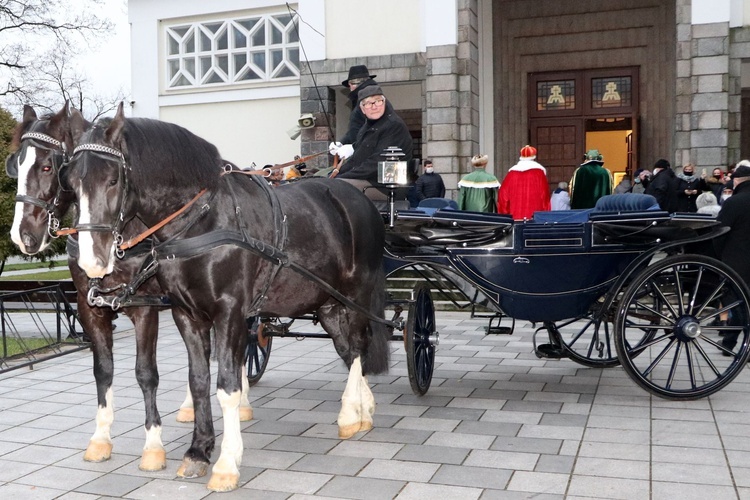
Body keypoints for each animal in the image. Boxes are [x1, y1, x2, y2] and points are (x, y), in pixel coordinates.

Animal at [4, 104, 254, 472]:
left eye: (49, 166)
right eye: (16, 165)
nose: (23, 236)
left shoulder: (145, 306)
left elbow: (146, 373)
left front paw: (153, 445)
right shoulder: (89, 308)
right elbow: (103, 371)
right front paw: (100, 438)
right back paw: (190, 406)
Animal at [64, 103, 390, 490]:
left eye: (113, 180)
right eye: (71, 183)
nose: (91, 261)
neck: (201, 220)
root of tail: (355, 196)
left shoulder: (230, 313)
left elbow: (228, 386)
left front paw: (226, 463)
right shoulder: (186, 315)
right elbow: (199, 381)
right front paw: (198, 451)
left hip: (356, 295)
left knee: (358, 346)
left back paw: (351, 413)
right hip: (328, 303)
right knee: (349, 349)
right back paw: (363, 408)